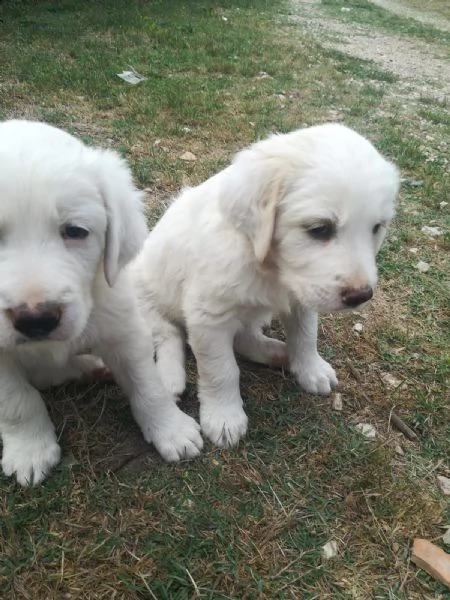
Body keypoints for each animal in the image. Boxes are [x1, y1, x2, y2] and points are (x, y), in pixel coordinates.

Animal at [0, 119, 202, 486]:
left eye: (75, 231)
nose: (36, 320)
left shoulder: (125, 330)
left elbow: (147, 384)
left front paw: (171, 430)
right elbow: (17, 401)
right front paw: (30, 450)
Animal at [132, 123, 400, 450]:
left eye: (376, 228)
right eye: (319, 229)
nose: (361, 296)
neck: (269, 267)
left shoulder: (301, 297)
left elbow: (305, 336)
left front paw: (310, 368)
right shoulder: (208, 314)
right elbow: (221, 370)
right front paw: (224, 418)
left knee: (243, 338)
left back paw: (278, 353)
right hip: (143, 295)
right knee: (167, 333)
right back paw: (169, 378)